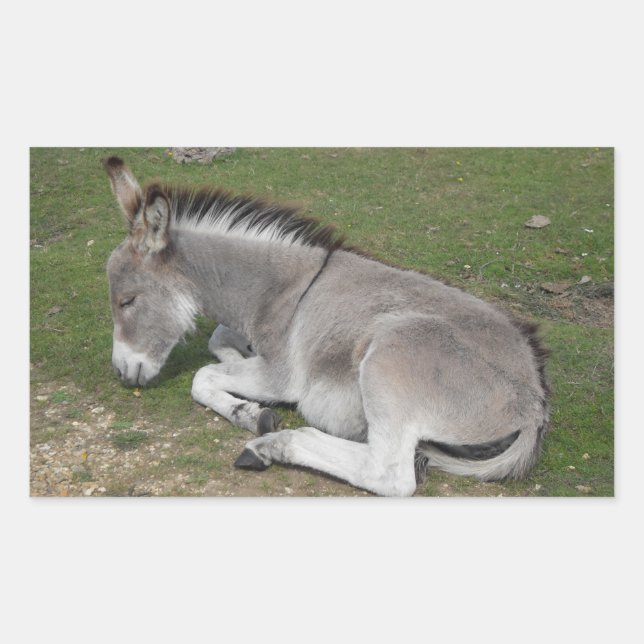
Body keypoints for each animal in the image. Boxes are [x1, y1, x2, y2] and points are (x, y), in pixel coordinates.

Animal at [103, 156, 550, 496]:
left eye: (127, 301)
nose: (122, 373)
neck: (280, 289)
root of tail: (533, 404)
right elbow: (218, 342)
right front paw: (242, 389)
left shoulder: (280, 375)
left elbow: (202, 376)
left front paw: (252, 411)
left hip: (392, 357)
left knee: (389, 474)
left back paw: (272, 445)